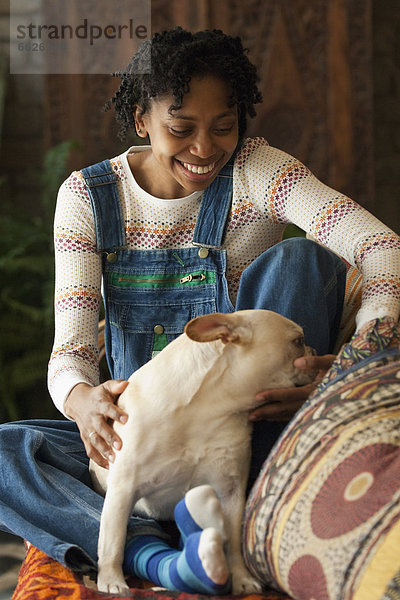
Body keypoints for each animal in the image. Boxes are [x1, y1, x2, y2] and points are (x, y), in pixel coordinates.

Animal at [90, 312, 316, 592]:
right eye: (298, 341)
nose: (314, 351)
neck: (210, 406)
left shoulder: (230, 491)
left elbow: (234, 542)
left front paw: (241, 578)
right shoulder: (123, 489)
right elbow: (113, 540)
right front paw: (112, 580)